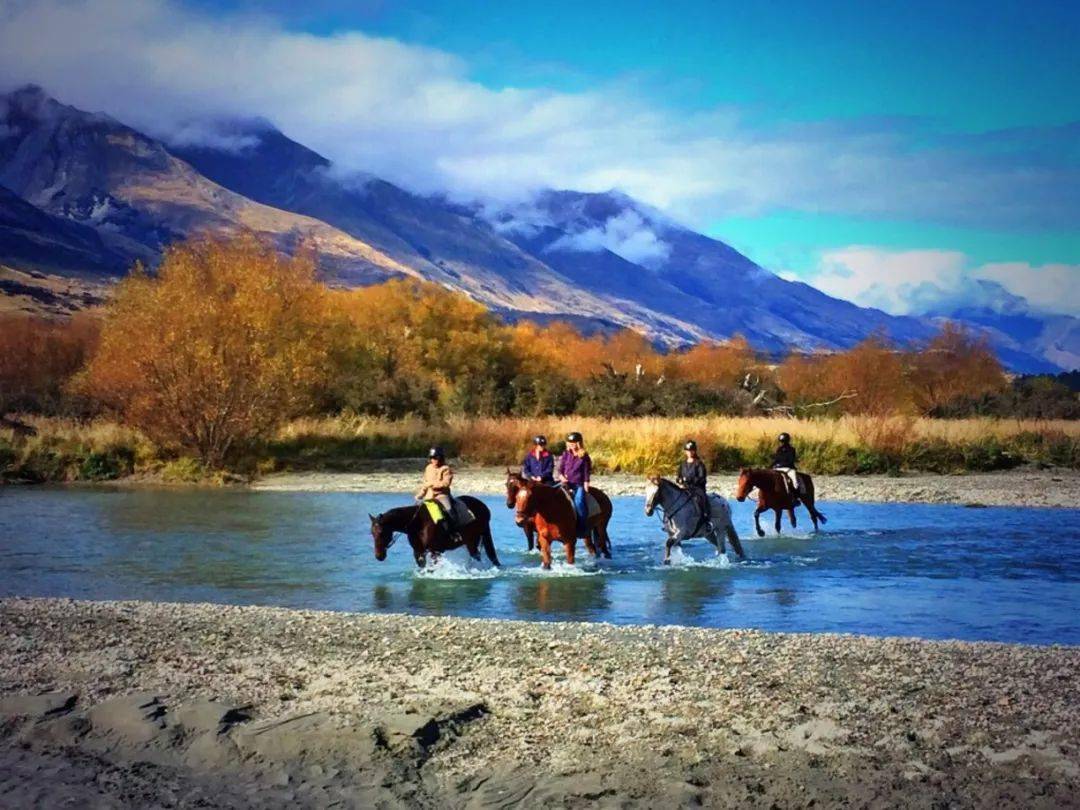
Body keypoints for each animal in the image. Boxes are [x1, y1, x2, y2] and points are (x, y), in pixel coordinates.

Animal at [365, 494, 494, 570]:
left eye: (381, 532)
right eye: (372, 533)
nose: (379, 556)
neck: (417, 523)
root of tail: (485, 507)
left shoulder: (435, 551)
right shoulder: (418, 552)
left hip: (472, 541)